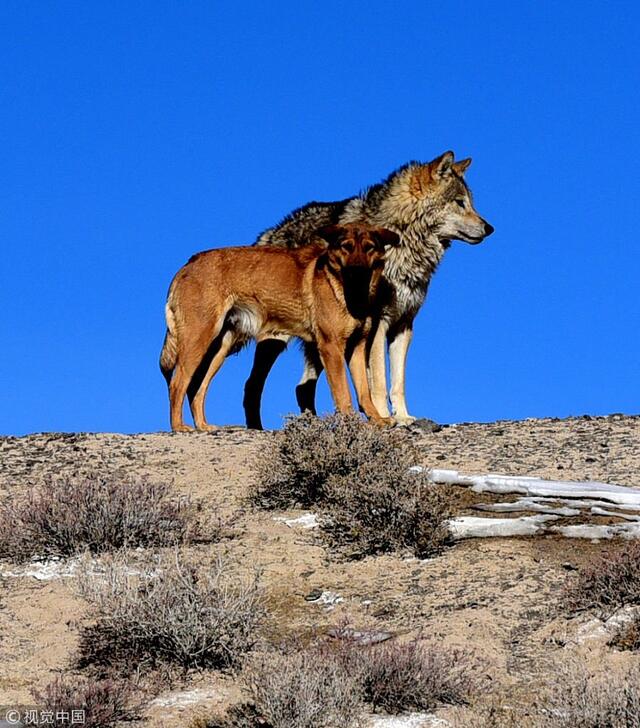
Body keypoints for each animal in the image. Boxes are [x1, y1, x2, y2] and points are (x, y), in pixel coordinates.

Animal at [159, 225, 398, 432]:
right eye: (346, 247)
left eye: (369, 247)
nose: (357, 272)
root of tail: (187, 265)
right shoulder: (331, 348)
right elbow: (344, 393)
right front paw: (351, 421)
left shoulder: (357, 348)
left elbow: (364, 392)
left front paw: (377, 419)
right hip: (198, 339)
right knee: (177, 384)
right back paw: (179, 427)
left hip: (218, 348)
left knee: (197, 389)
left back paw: (203, 426)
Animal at [242, 151, 492, 430]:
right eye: (460, 203)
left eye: (470, 203)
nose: (489, 228)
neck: (402, 242)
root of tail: (269, 234)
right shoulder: (377, 324)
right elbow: (379, 382)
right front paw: (384, 417)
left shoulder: (403, 324)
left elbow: (398, 382)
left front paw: (403, 417)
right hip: (276, 341)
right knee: (252, 386)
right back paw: (257, 427)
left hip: (320, 340)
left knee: (302, 387)